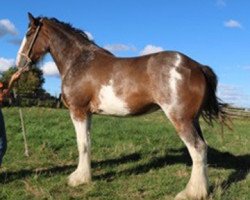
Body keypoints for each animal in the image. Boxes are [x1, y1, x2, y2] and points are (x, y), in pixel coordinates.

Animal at [15, 12, 227, 200]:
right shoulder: (88, 113)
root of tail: (198, 66)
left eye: (28, 34)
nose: (19, 62)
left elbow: (81, 144)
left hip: (181, 119)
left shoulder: (78, 111)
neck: (79, 61)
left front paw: (78, 179)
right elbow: (88, 143)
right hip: (193, 120)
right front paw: (85, 176)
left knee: (197, 148)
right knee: (203, 148)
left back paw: (191, 193)